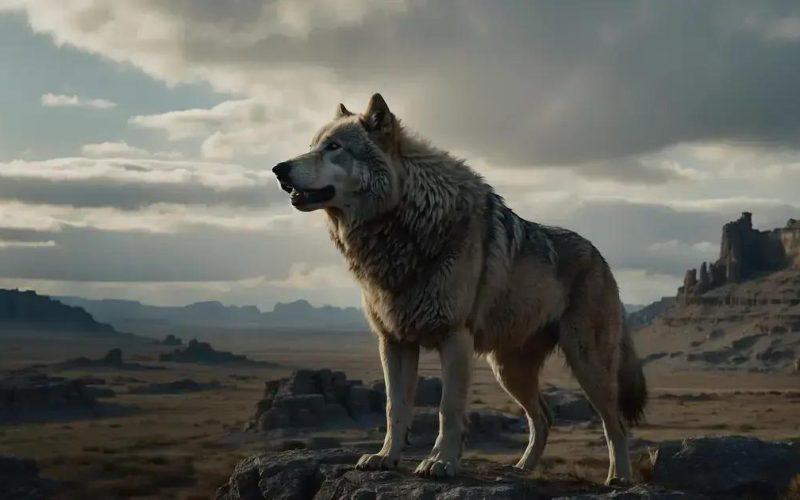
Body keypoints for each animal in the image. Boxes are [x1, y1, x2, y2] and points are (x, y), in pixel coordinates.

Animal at [272, 93, 647, 483]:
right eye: (311, 146)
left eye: (334, 147)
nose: (278, 169)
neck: (402, 227)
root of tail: (601, 256)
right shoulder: (393, 342)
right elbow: (395, 407)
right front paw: (385, 457)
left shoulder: (454, 338)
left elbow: (447, 408)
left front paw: (441, 462)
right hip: (509, 371)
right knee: (543, 417)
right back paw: (521, 468)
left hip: (587, 365)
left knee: (615, 425)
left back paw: (619, 478)